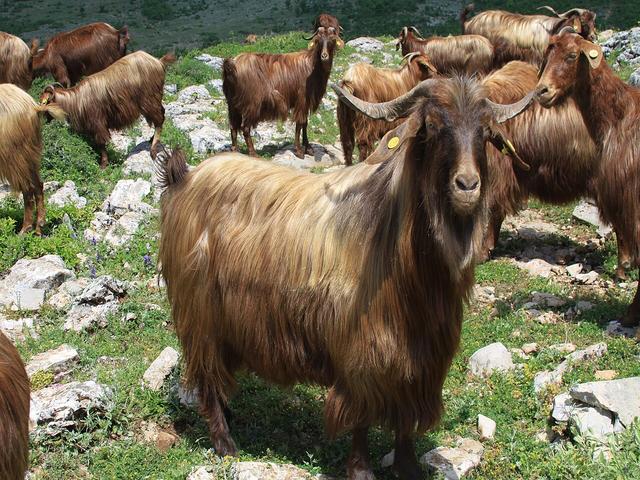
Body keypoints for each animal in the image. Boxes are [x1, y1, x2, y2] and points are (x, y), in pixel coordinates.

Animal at [0, 83, 65, 234]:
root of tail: (32, 107)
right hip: (29, 155)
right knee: (38, 185)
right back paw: (39, 227)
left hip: (14, 155)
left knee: (28, 189)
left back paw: (25, 230)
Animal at [39, 51, 175, 168]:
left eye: (44, 102)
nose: (43, 121)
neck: (77, 100)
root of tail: (158, 62)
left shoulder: (98, 123)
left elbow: (101, 144)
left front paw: (103, 164)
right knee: (162, 114)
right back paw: (151, 139)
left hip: (149, 100)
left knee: (159, 120)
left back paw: (153, 148)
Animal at [158, 77, 531, 479]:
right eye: (432, 127)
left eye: (486, 132)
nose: (467, 185)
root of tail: (185, 178)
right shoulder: (361, 356)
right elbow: (360, 418)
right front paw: (361, 469)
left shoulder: (419, 360)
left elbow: (405, 420)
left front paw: (409, 467)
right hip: (200, 316)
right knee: (207, 378)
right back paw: (225, 442)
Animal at [222, 18, 343, 158]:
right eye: (318, 40)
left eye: (332, 39)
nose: (324, 56)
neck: (312, 65)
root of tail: (231, 66)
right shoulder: (302, 99)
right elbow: (300, 123)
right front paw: (299, 151)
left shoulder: (305, 103)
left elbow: (305, 123)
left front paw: (308, 148)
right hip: (252, 103)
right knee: (245, 128)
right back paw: (253, 153)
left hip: (232, 104)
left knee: (233, 126)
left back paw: (235, 150)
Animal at [536, 29, 640, 328]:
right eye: (548, 54)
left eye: (572, 56)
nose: (542, 91)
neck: (619, 116)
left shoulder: (629, 201)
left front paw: (631, 316)